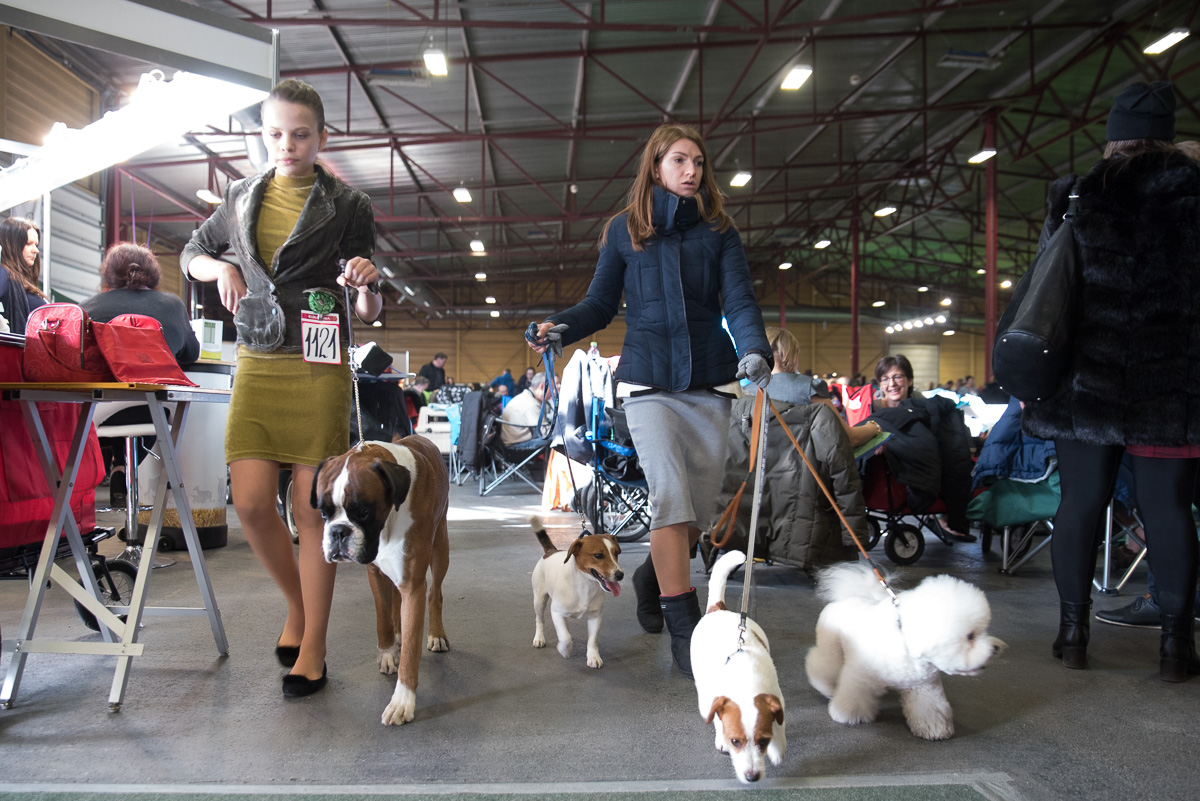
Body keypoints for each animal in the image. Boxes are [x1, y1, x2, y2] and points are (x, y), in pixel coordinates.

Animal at [312, 435, 450, 726]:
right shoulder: (375, 573)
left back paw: (436, 634)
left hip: (440, 547)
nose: (338, 532)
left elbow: (411, 648)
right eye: (323, 512)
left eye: (363, 511)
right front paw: (387, 652)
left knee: (435, 593)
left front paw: (403, 701)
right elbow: (382, 617)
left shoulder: (413, 585)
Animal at [529, 516, 623, 668]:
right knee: (539, 620)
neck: (584, 584)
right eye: (598, 555)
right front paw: (564, 649)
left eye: (616, 553)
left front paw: (593, 657)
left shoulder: (595, 617)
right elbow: (566, 638)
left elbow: (592, 640)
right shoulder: (556, 612)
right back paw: (539, 638)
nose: (620, 575)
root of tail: (551, 551)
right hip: (539, 599)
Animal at [690, 550, 786, 784]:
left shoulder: (777, 695)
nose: (752, 777)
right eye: (735, 741)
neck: (745, 680)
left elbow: (779, 724)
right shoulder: (715, 700)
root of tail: (717, 608)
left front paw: (778, 747)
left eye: (764, 741)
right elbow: (717, 719)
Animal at [804, 562, 1005, 741]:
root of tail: (847, 599)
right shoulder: (860, 677)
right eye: (970, 636)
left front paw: (934, 729)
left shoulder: (924, 686)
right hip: (831, 649)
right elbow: (854, 696)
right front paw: (849, 714)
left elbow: (929, 708)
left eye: (983, 630)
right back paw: (827, 687)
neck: (906, 643)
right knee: (823, 665)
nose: (996, 648)